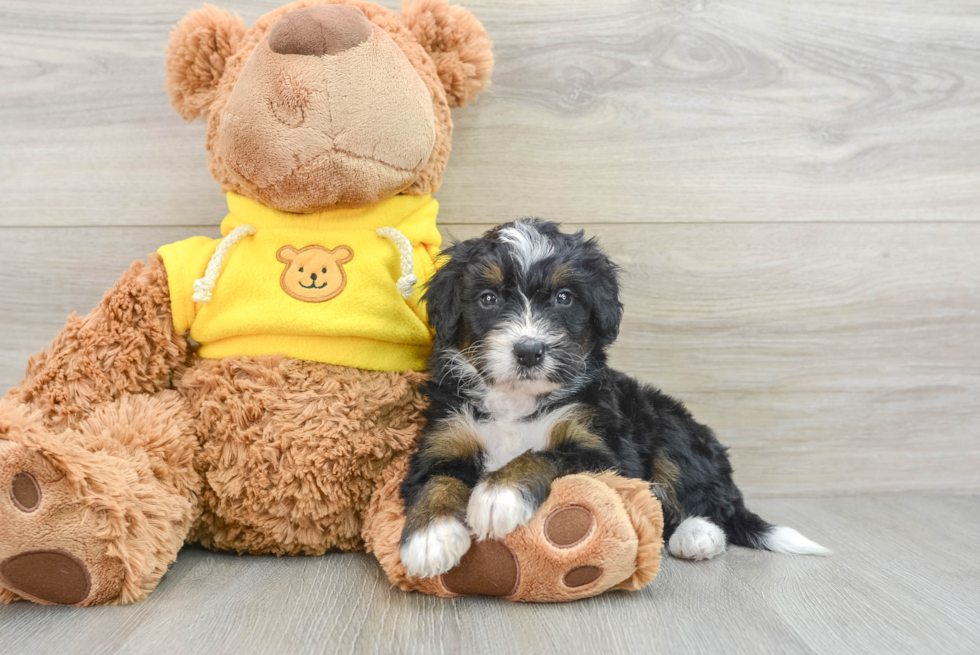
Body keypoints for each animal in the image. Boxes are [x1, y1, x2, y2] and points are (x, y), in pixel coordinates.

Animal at [398, 220, 828, 580]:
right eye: (488, 299)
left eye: (564, 297)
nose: (529, 351)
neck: (516, 402)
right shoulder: (445, 438)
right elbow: (436, 482)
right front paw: (430, 537)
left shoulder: (605, 452)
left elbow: (546, 454)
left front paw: (497, 495)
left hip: (670, 426)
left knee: (705, 500)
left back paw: (697, 535)